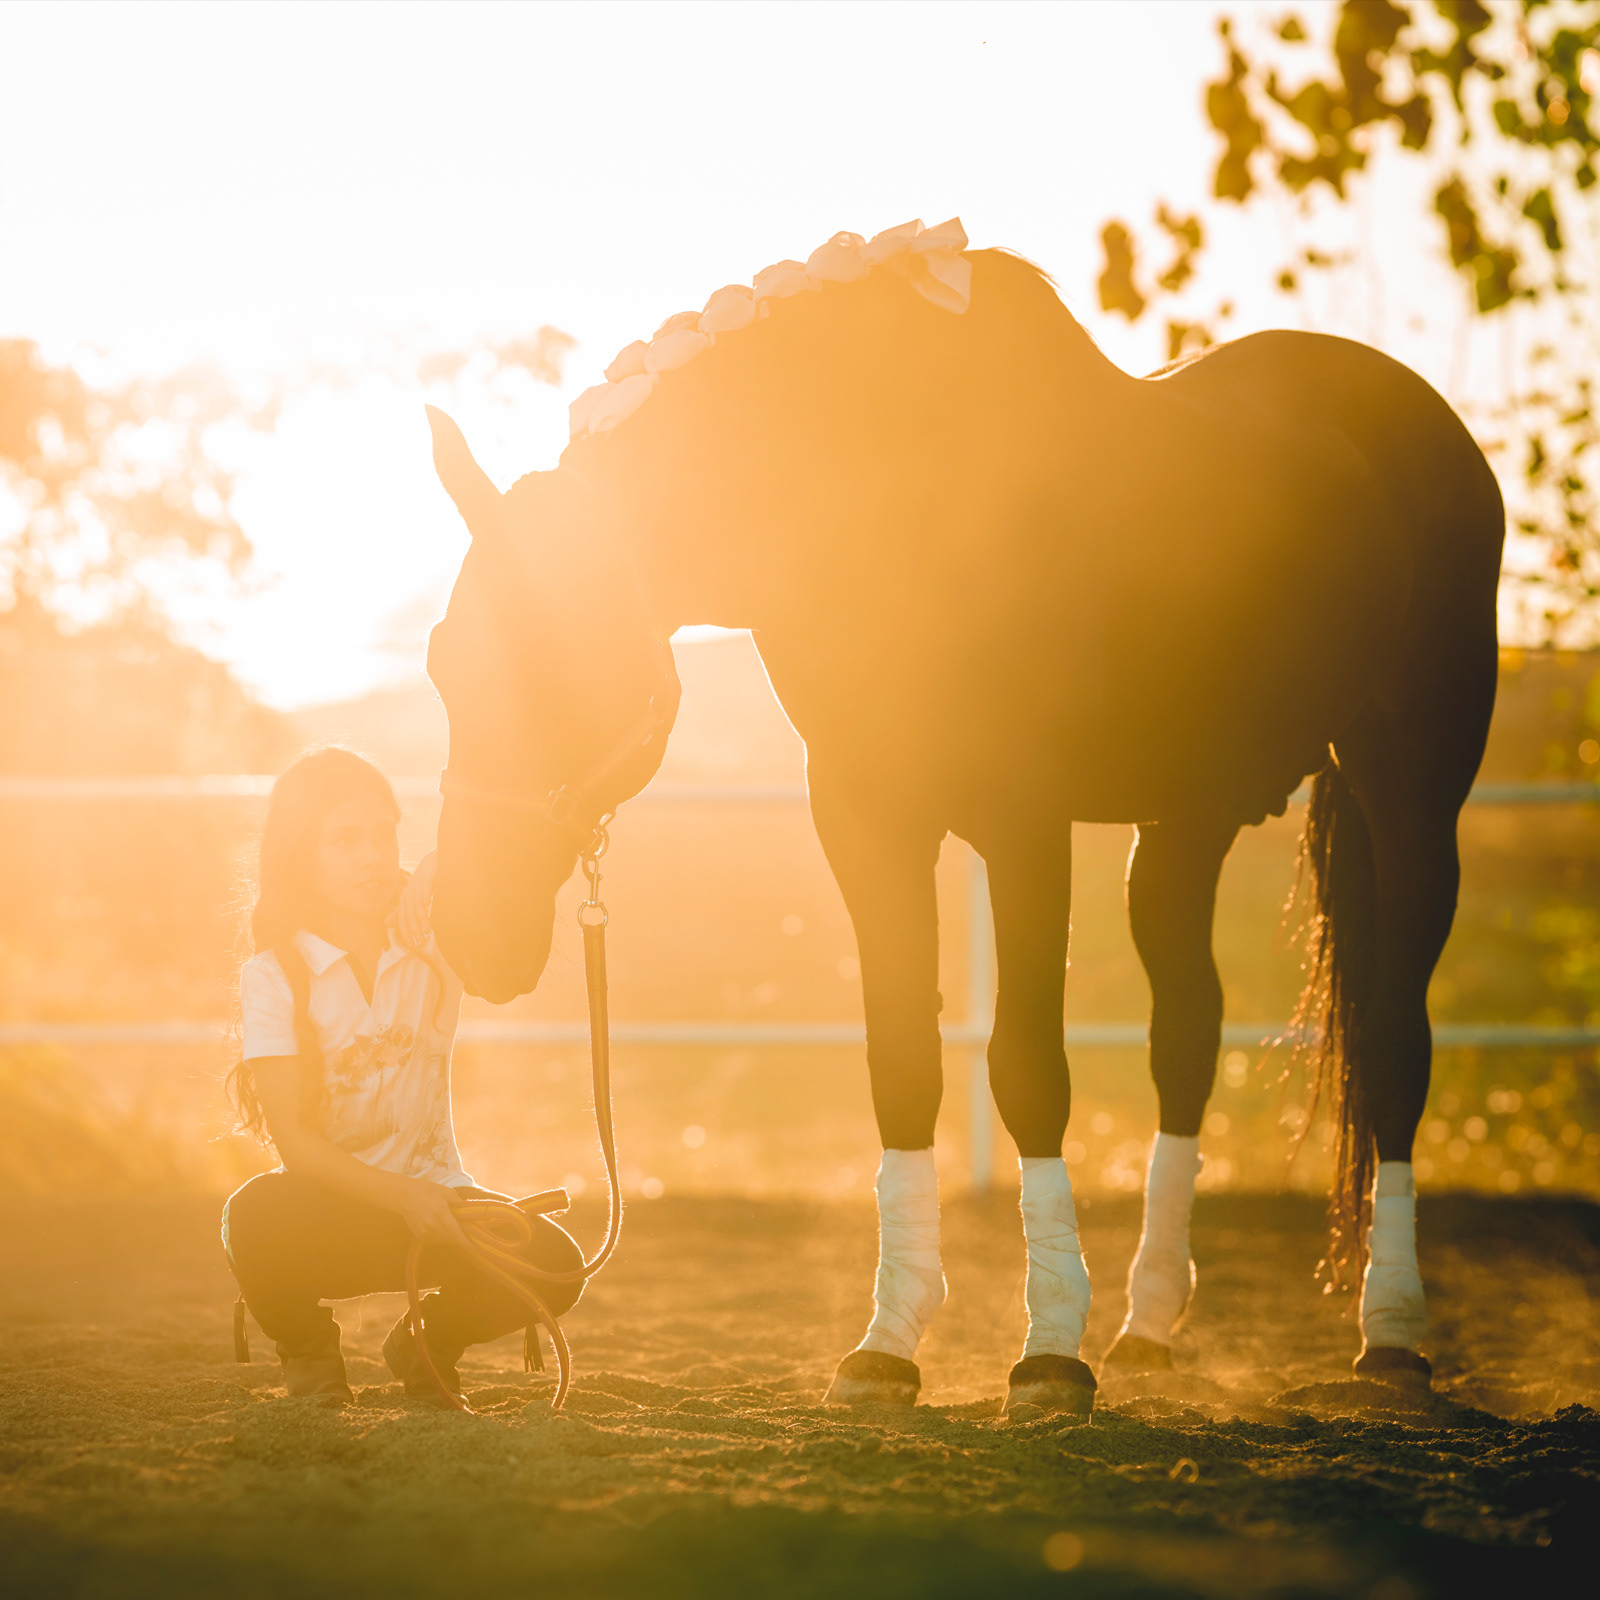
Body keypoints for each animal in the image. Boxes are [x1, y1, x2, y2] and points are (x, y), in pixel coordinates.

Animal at [420, 220, 1502, 1416]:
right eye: (444, 662)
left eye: (557, 665)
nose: (468, 926)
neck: (889, 499)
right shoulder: (863, 821)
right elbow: (901, 1061)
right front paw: (887, 1343)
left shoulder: (1022, 825)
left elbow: (1027, 1069)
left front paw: (1048, 1350)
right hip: (1186, 820)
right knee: (1187, 1038)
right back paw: (1149, 1323)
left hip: (1412, 796)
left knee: (1397, 1040)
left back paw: (1388, 1331)